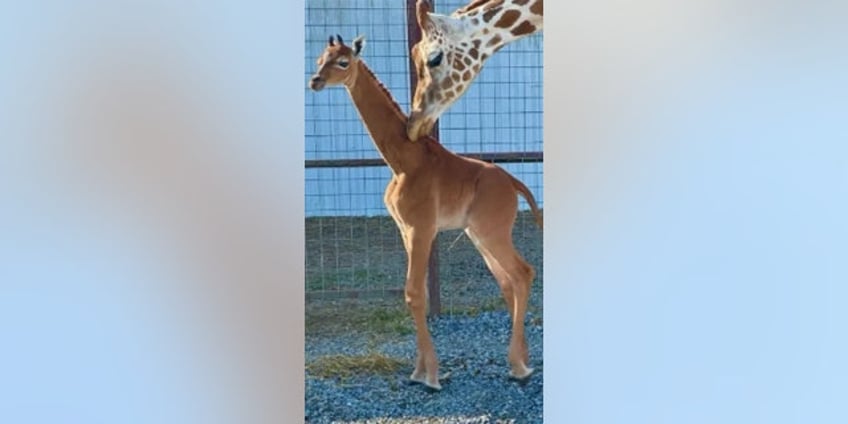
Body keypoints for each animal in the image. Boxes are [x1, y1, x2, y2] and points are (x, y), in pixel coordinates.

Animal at [312, 34, 544, 392]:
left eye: (343, 62)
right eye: (319, 58)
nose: (315, 81)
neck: (403, 161)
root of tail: (515, 184)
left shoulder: (421, 228)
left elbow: (413, 293)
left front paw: (431, 376)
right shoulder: (406, 230)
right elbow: (417, 292)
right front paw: (419, 371)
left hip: (492, 231)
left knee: (522, 272)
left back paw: (519, 366)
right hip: (478, 234)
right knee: (508, 280)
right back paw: (523, 359)